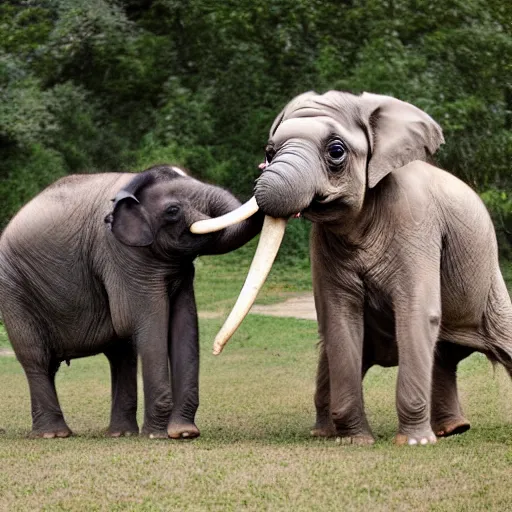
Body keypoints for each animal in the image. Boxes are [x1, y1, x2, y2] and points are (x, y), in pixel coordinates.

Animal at [0, 165, 262, 440]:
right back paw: (54, 435)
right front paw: (158, 436)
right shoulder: (123, 255)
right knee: (36, 357)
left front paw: (183, 433)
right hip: (13, 288)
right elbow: (149, 322)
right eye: (173, 211)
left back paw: (120, 434)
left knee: (119, 354)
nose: (263, 167)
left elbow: (184, 322)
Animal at [190, 91, 512, 444]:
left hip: (492, 283)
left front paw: (413, 443)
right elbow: (338, 317)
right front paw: (356, 440)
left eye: (336, 151)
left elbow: (417, 312)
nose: (215, 351)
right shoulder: (323, 244)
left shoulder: (415, 220)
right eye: (269, 152)